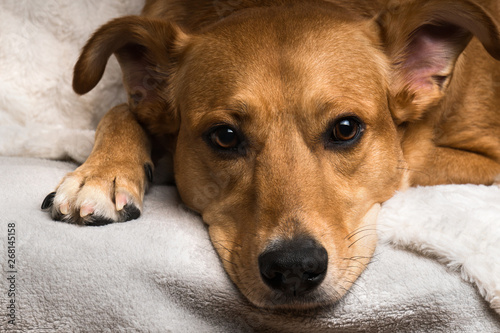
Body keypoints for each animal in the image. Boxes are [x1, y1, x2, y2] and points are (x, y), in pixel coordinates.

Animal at [42, 0, 500, 308]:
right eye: (225, 136)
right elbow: (121, 110)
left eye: (346, 129)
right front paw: (100, 174)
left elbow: (411, 157)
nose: (295, 268)